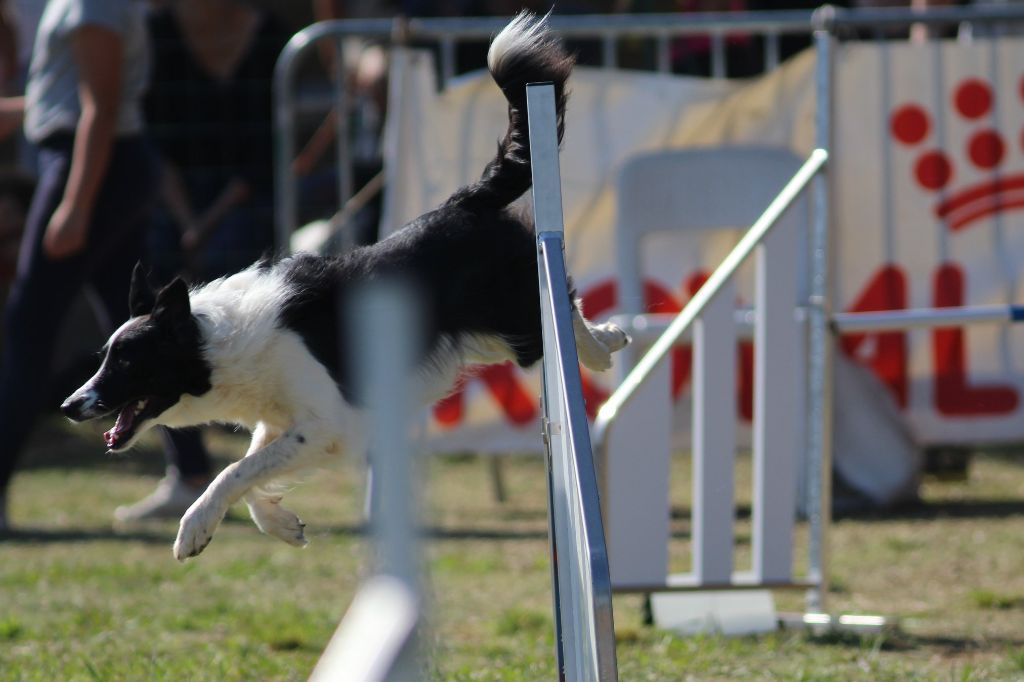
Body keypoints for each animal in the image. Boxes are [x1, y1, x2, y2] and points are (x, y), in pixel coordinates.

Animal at [64, 14, 626, 557]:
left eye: (128, 361)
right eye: (104, 357)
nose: (70, 406)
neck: (217, 344)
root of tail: (466, 201)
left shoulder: (327, 424)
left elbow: (234, 471)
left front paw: (194, 529)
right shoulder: (284, 422)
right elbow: (252, 474)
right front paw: (281, 525)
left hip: (513, 318)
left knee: (561, 310)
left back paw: (602, 348)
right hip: (486, 338)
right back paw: (608, 338)